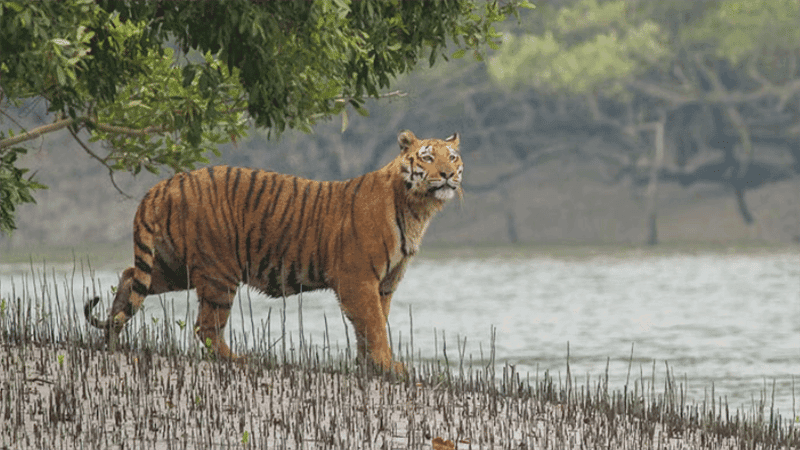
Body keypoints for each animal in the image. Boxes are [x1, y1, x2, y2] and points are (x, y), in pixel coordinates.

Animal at [85, 130, 462, 372]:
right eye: (428, 157)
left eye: (452, 157)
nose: (447, 174)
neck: (417, 209)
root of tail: (164, 184)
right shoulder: (358, 279)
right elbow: (373, 325)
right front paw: (387, 366)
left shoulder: (384, 283)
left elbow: (373, 325)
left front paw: (370, 365)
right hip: (219, 272)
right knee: (206, 327)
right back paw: (236, 360)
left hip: (174, 267)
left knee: (130, 278)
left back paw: (111, 340)